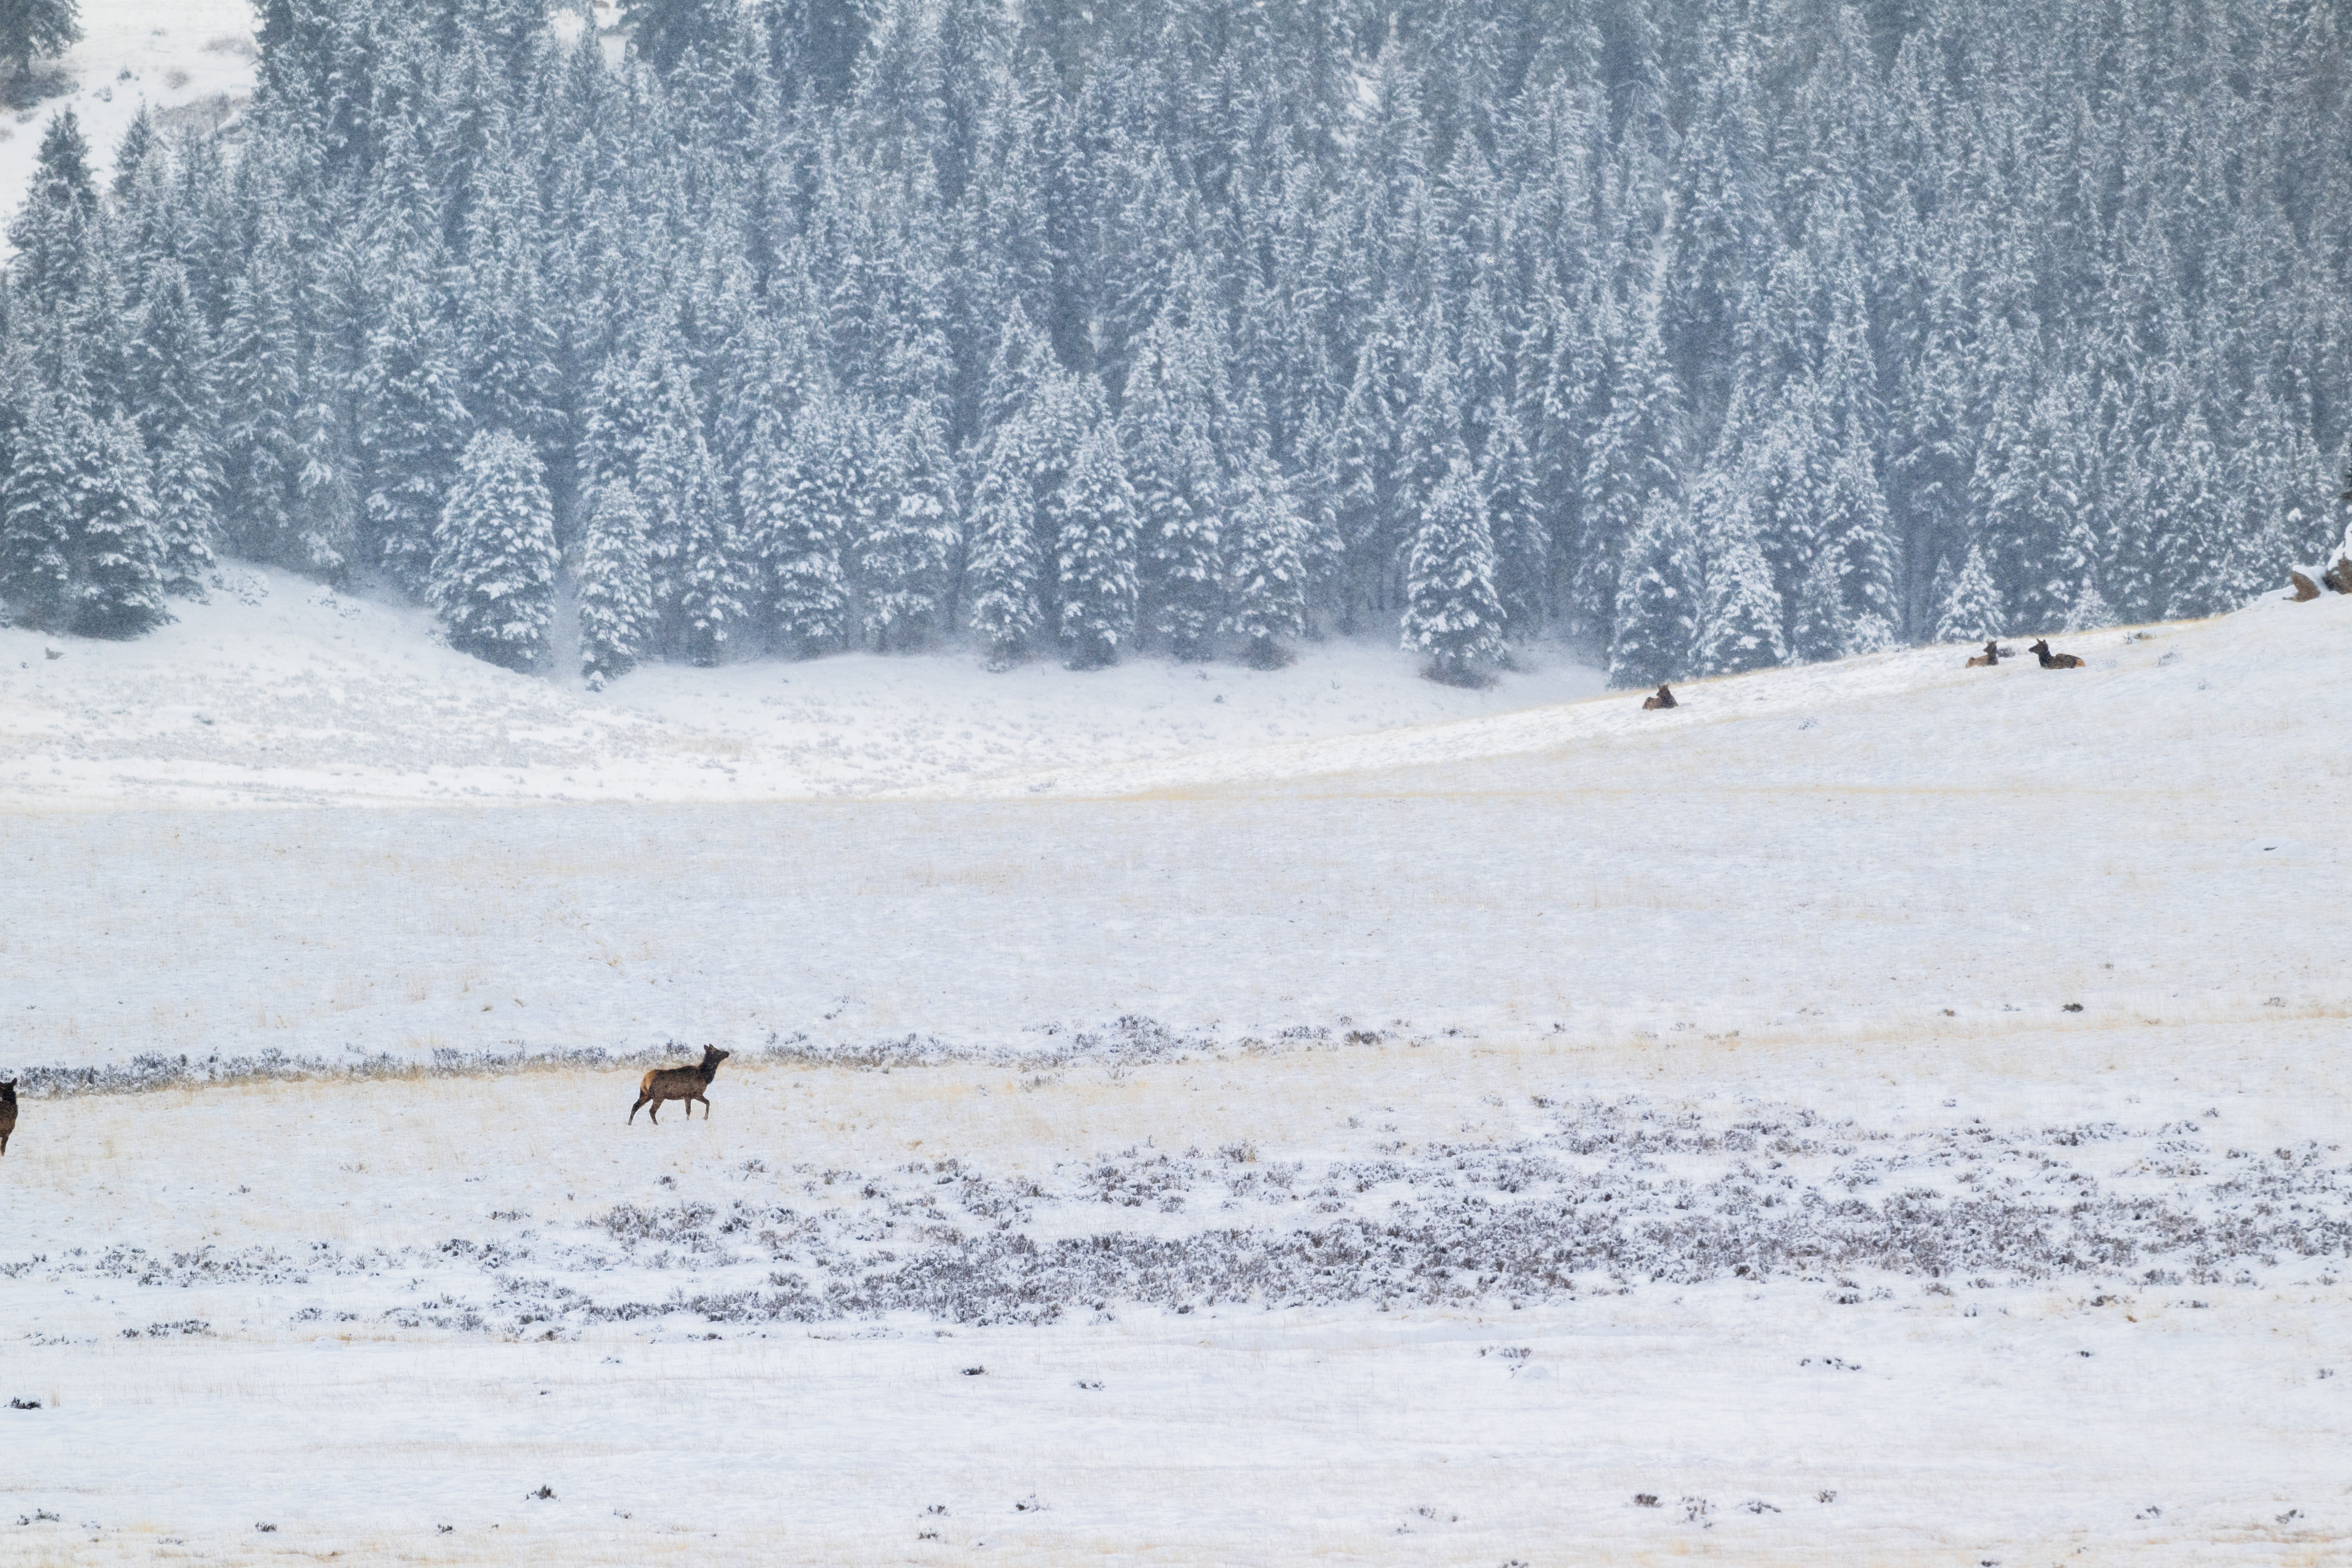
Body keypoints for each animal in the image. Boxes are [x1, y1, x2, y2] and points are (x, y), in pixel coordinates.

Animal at [628, 1046, 730, 1125]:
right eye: (717, 1051)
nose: (727, 1053)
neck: (705, 1076)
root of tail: (645, 1080)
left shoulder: (687, 1096)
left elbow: (688, 1111)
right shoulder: (696, 1094)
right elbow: (707, 1103)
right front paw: (705, 1118)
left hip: (645, 1094)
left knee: (635, 1106)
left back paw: (629, 1123)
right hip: (659, 1096)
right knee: (651, 1111)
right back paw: (656, 1124)